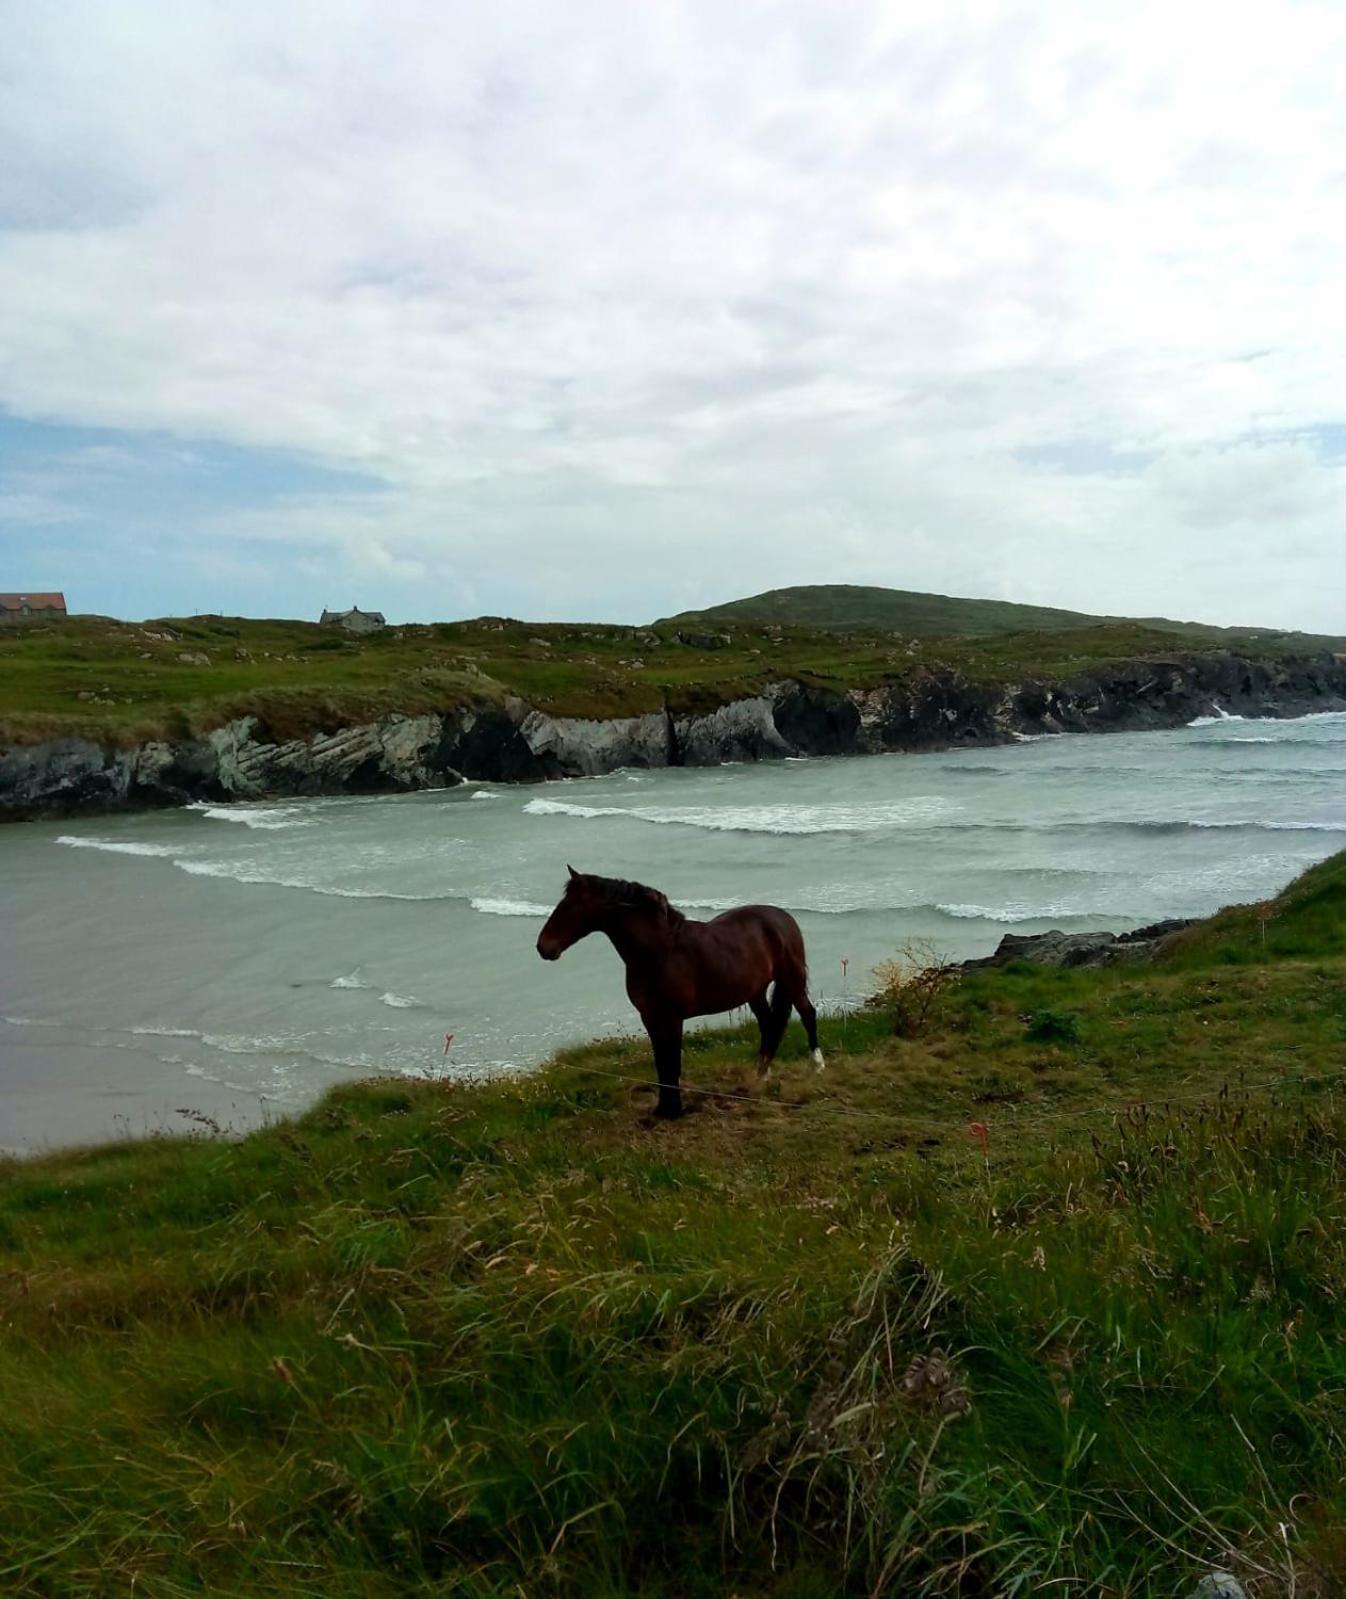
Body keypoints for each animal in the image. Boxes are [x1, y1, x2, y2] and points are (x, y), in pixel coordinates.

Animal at [533, 869, 818, 1119]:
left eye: (570, 906)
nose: (543, 947)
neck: (660, 953)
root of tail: (783, 917)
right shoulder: (650, 1017)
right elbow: (661, 1062)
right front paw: (663, 1108)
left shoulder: (673, 1018)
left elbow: (672, 1062)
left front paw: (673, 1110)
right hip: (754, 991)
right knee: (769, 1024)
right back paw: (761, 1075)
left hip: (792, 980)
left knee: (807, 1014)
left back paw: (816, 1065)